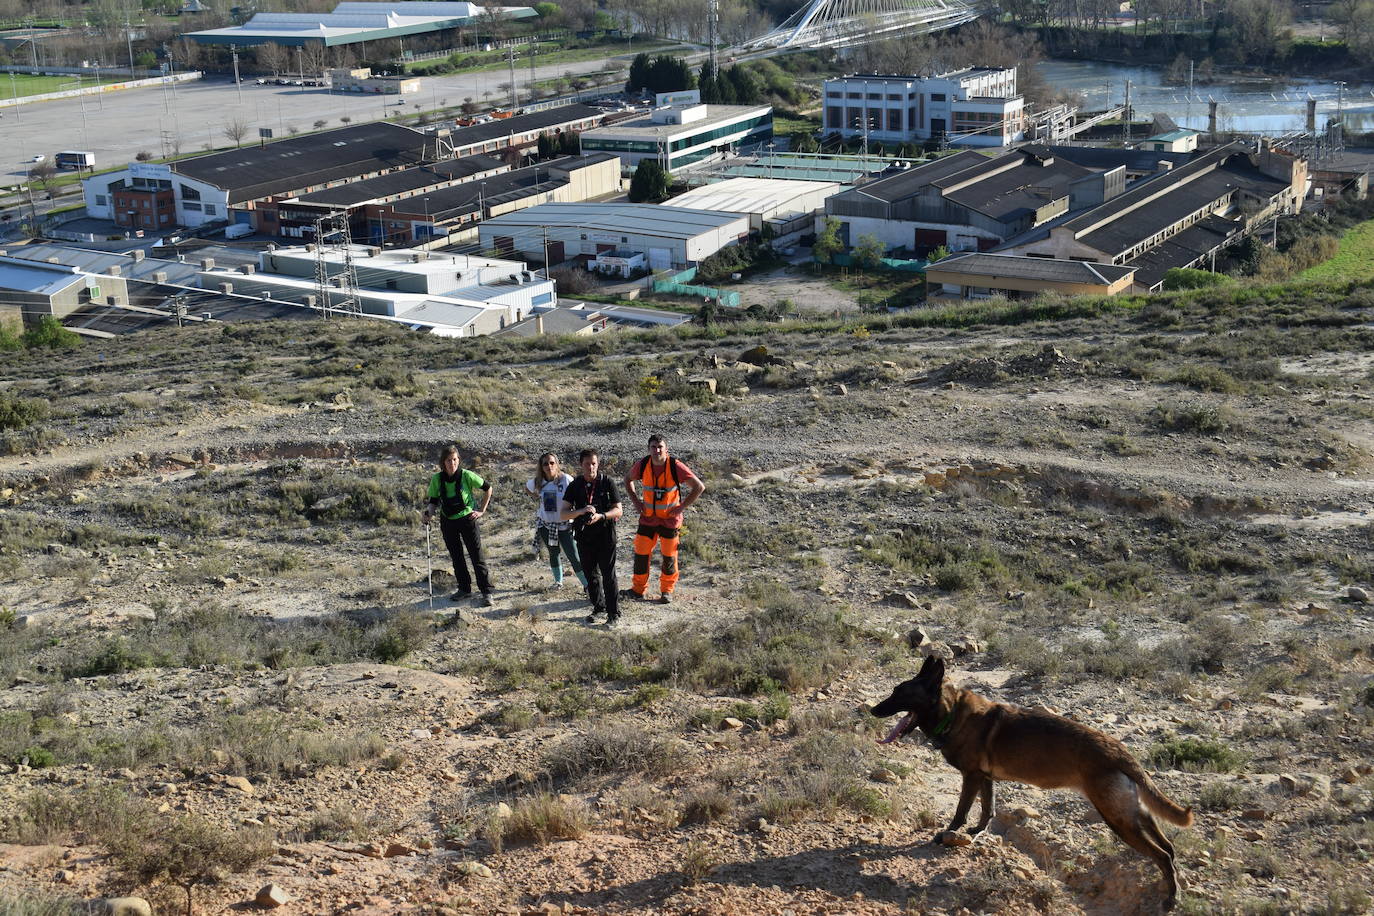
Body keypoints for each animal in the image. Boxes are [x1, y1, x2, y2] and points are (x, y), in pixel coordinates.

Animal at [879, 659, 1192, 911]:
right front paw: (978, 833)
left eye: (899, 693)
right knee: (1168, 847)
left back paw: (1171, 898)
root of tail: (1120, 752)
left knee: (1162, 854)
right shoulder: (984, 779)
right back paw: (1173, 883)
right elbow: (987, 810)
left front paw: (948, 835)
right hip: (1132, 813)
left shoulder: (971, 777)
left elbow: (961, 811)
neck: (953, 713)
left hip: (1118, 820)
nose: (872, 709)